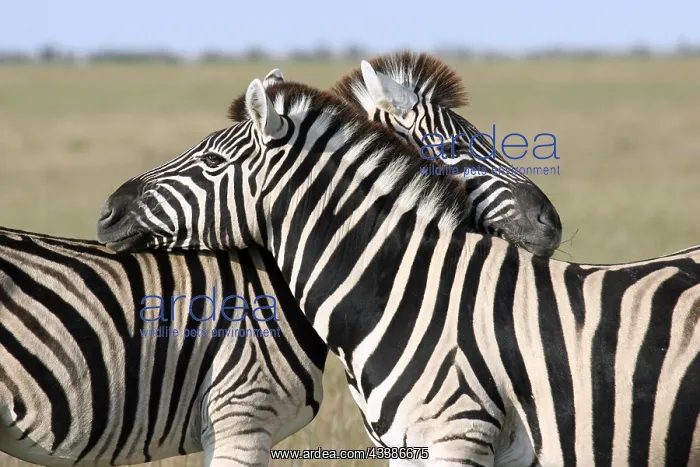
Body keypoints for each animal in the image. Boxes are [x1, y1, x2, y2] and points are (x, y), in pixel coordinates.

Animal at [97, 76, 700, 466]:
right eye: (454, 146)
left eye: (212, 163)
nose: (108, 210)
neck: (411, 290)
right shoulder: (407, 446)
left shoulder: (461, 436)